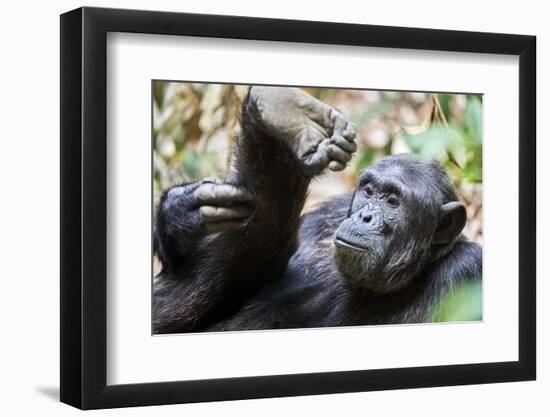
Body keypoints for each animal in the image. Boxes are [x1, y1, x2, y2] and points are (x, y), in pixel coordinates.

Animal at [153, 86, 486, 334]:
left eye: (393, 201)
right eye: (368, 192)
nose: (365, 216)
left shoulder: (467, 272)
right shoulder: (327, 216)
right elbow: (243, 276)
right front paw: (183, 210)